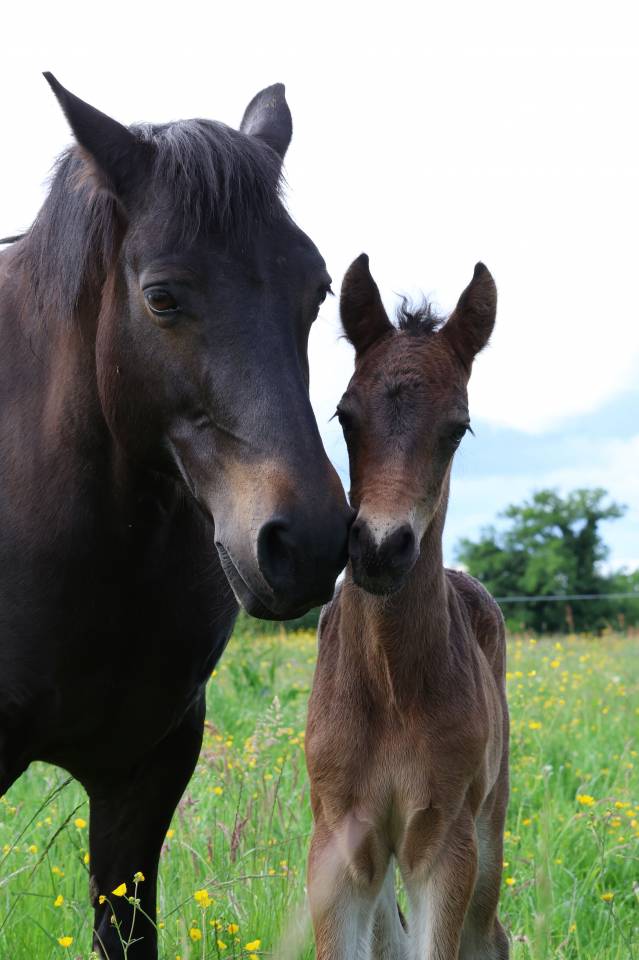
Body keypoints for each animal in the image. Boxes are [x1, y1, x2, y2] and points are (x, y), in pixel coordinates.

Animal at [306, 255, 510, 959]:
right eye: (344, 416)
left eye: (457, 429)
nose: (378, 548)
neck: (392, 685)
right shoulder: (337, 844)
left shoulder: (445, 844)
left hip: (489, 825)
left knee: (489, 934)